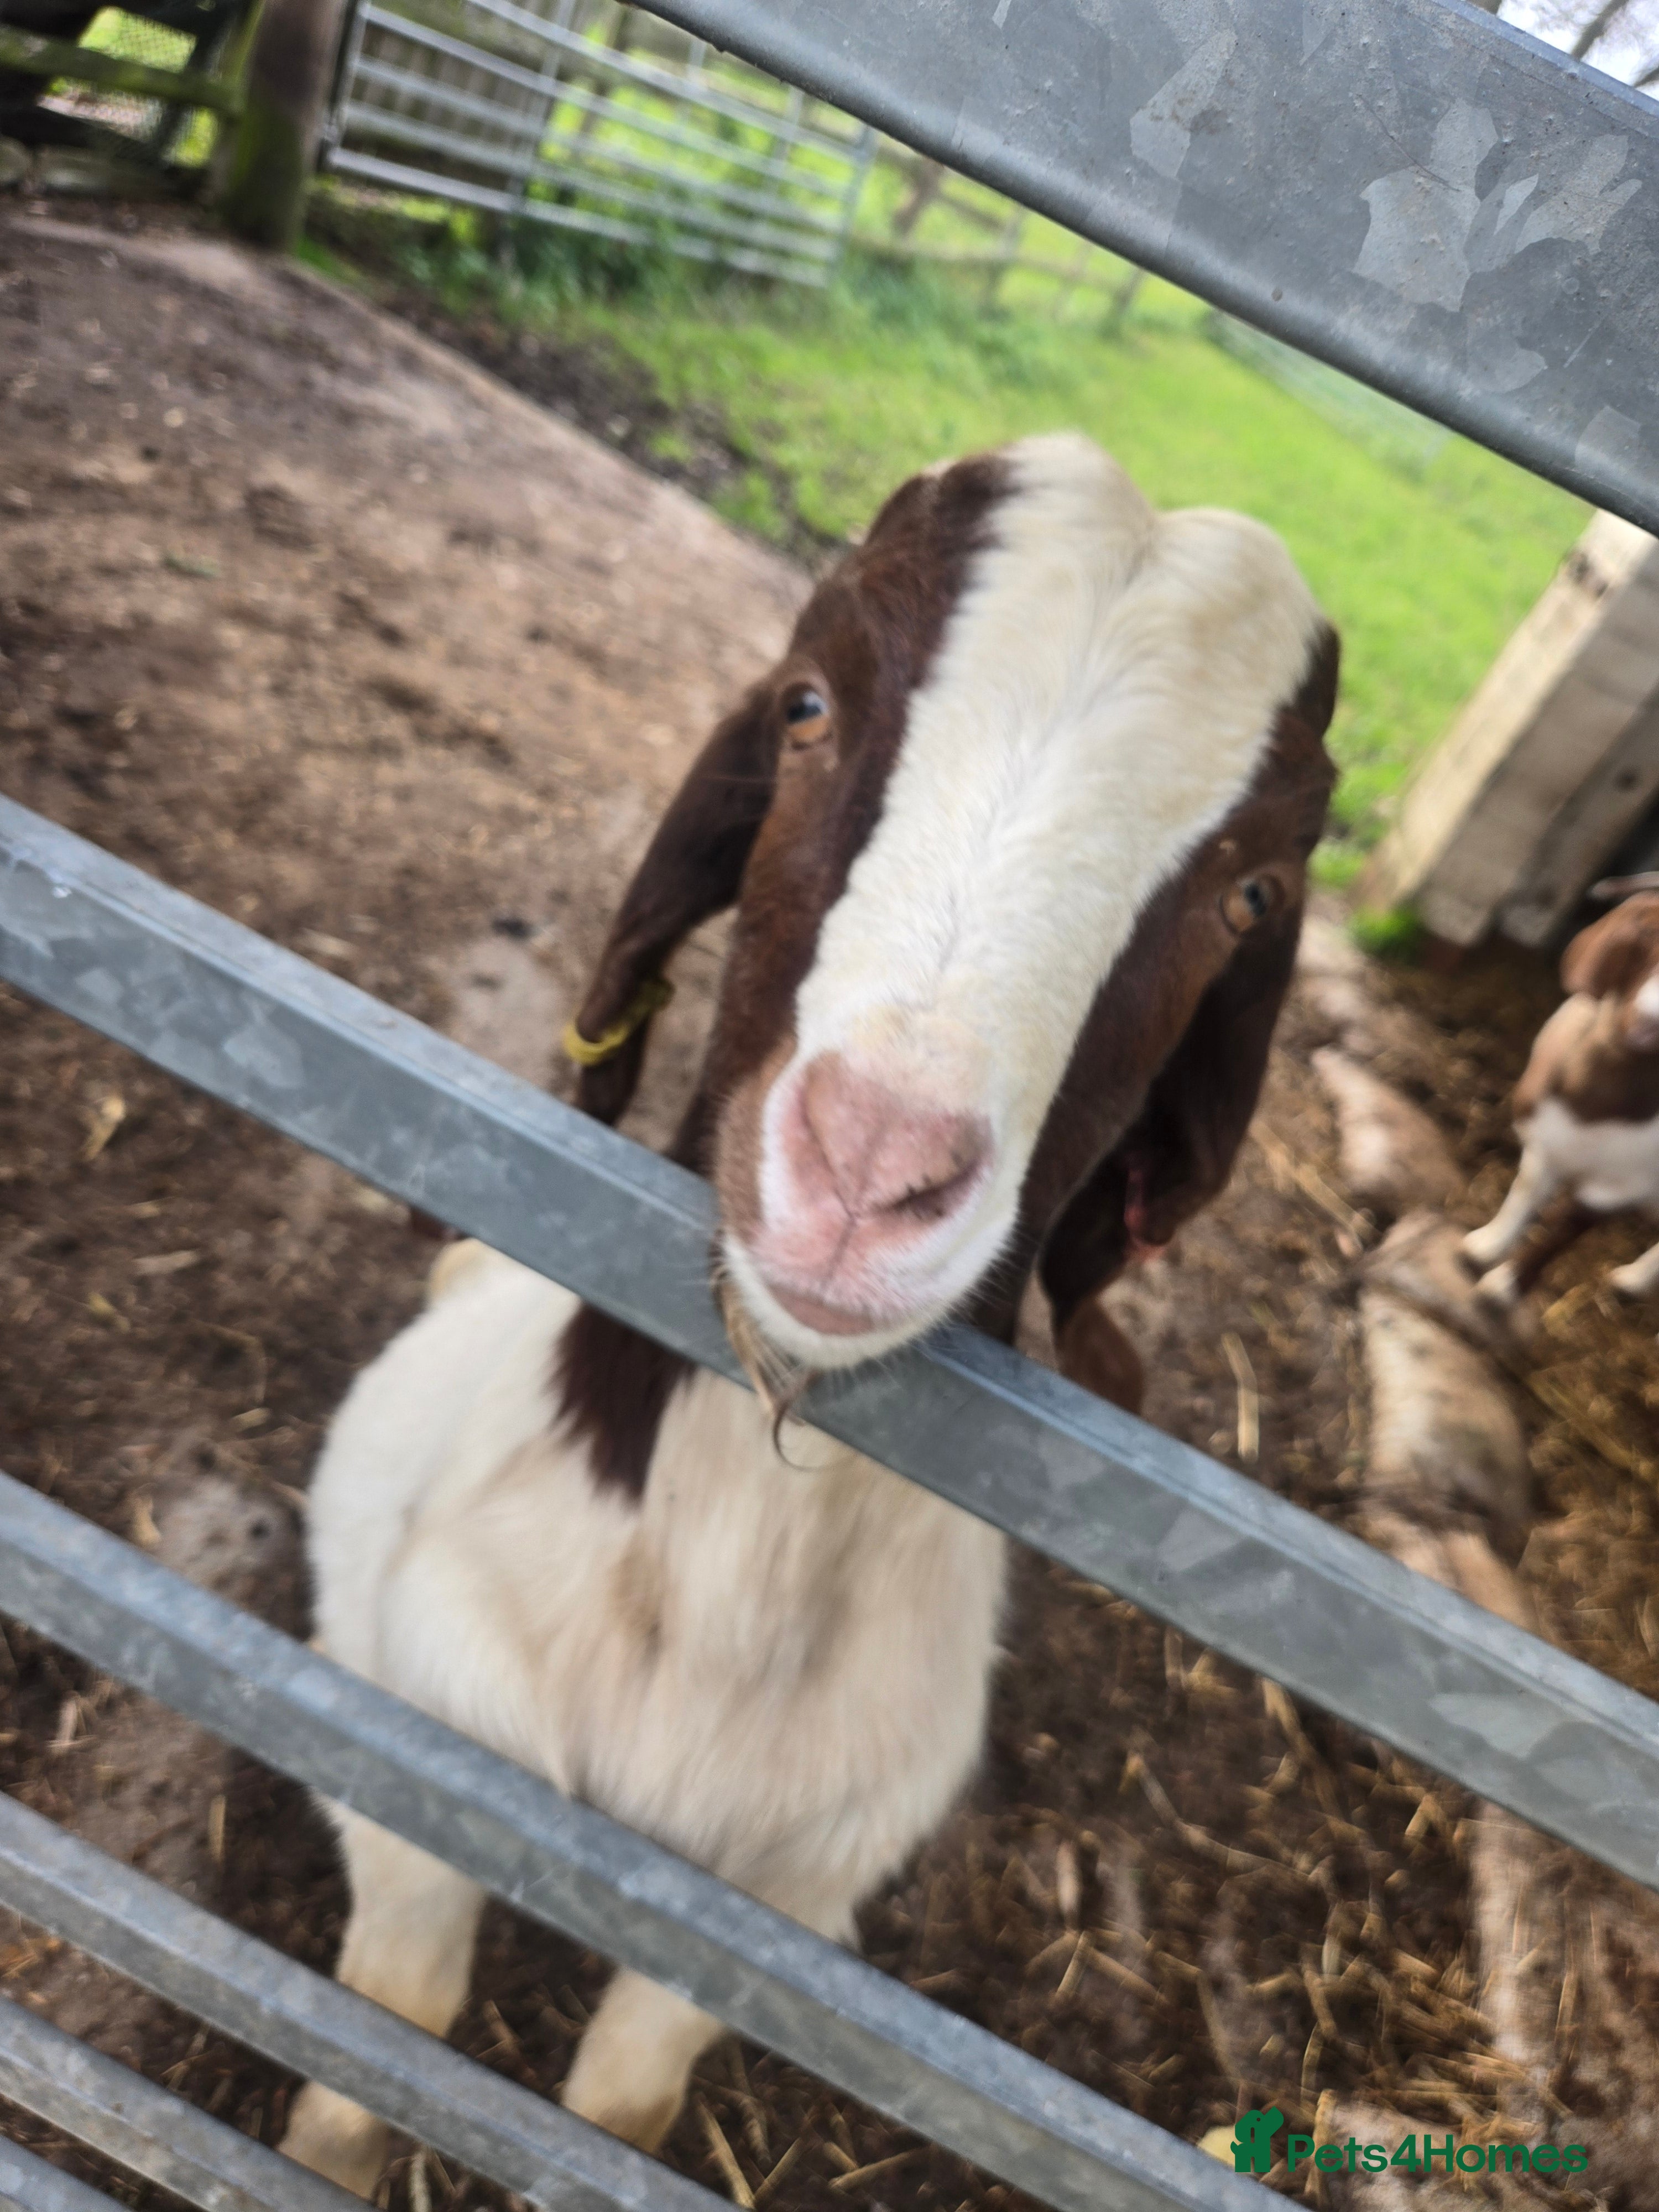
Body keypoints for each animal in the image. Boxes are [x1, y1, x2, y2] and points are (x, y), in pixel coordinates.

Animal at [279, 433, 1338, 2195]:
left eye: (1250, 894)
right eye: (804, 703)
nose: (870, 1167)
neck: (716, 1579)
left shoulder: (788, 1904)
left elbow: (618, 2112)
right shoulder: (411, 1737)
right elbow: (386, 2032)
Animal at [1464, 878, 1659, 1311]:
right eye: (1648, 934)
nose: (1651, 1023)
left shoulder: (1620, 1186)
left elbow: (1562, 1232)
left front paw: (1504, 1287)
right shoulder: (1545, 1140)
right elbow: (1524, 1192)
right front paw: (1485, 1245)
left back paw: (1632, 1281)